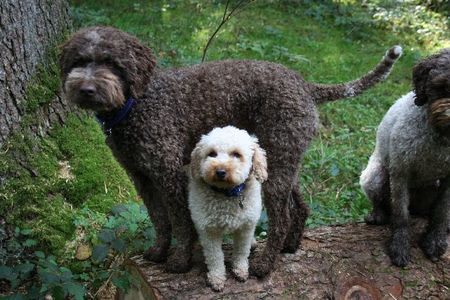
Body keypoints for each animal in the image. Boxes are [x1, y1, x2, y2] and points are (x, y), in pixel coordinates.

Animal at [187, 125, 268, 292]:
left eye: (236, 154)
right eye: (212, 153)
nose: (220, 171)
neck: (227, 193)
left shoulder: (246, 227)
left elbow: (242, 251)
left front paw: (240, 270)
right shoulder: (208, 231)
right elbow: (215, 256)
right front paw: (217, 278)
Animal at [362, 48, 450, 266]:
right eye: (442, 86)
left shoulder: (449, 180)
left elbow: (441, 211)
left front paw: (435, 240)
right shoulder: (400, 172)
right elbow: (400, 214)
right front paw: (400, 245)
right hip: (375, 176)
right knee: (382, 202)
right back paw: (377, 215)